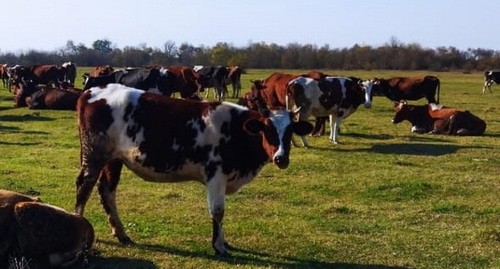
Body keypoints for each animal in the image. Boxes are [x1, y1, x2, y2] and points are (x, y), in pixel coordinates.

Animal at [74, 84, 312, 255]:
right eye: (267, 130)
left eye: (290, 132)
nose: (281, 158)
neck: (235, 129)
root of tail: (93, 91)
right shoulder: (216, 175)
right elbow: (218, 210)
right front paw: (219, 246)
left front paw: (223, 240)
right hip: (94, 155)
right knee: (84, 186)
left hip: (113, 159)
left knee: (107, 190)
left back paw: (122, 233)